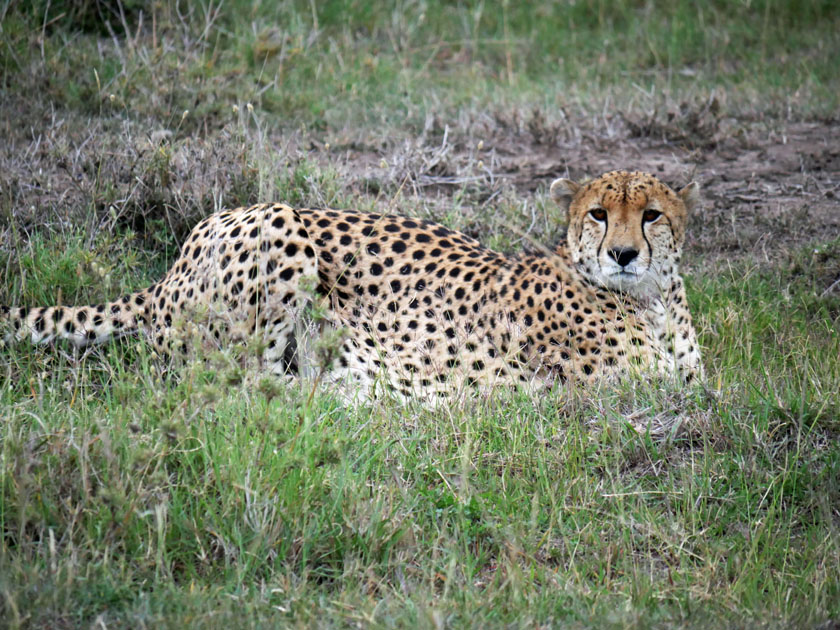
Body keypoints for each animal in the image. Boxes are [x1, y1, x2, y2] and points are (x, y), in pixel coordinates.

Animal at [1, 173, 704, 400]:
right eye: (599, 214)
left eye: (651, 215)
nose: (622, 254)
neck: (651, 301)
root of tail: (171, 267)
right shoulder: (626, 387)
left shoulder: (692, 380)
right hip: (279, 226)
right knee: (242, 385)